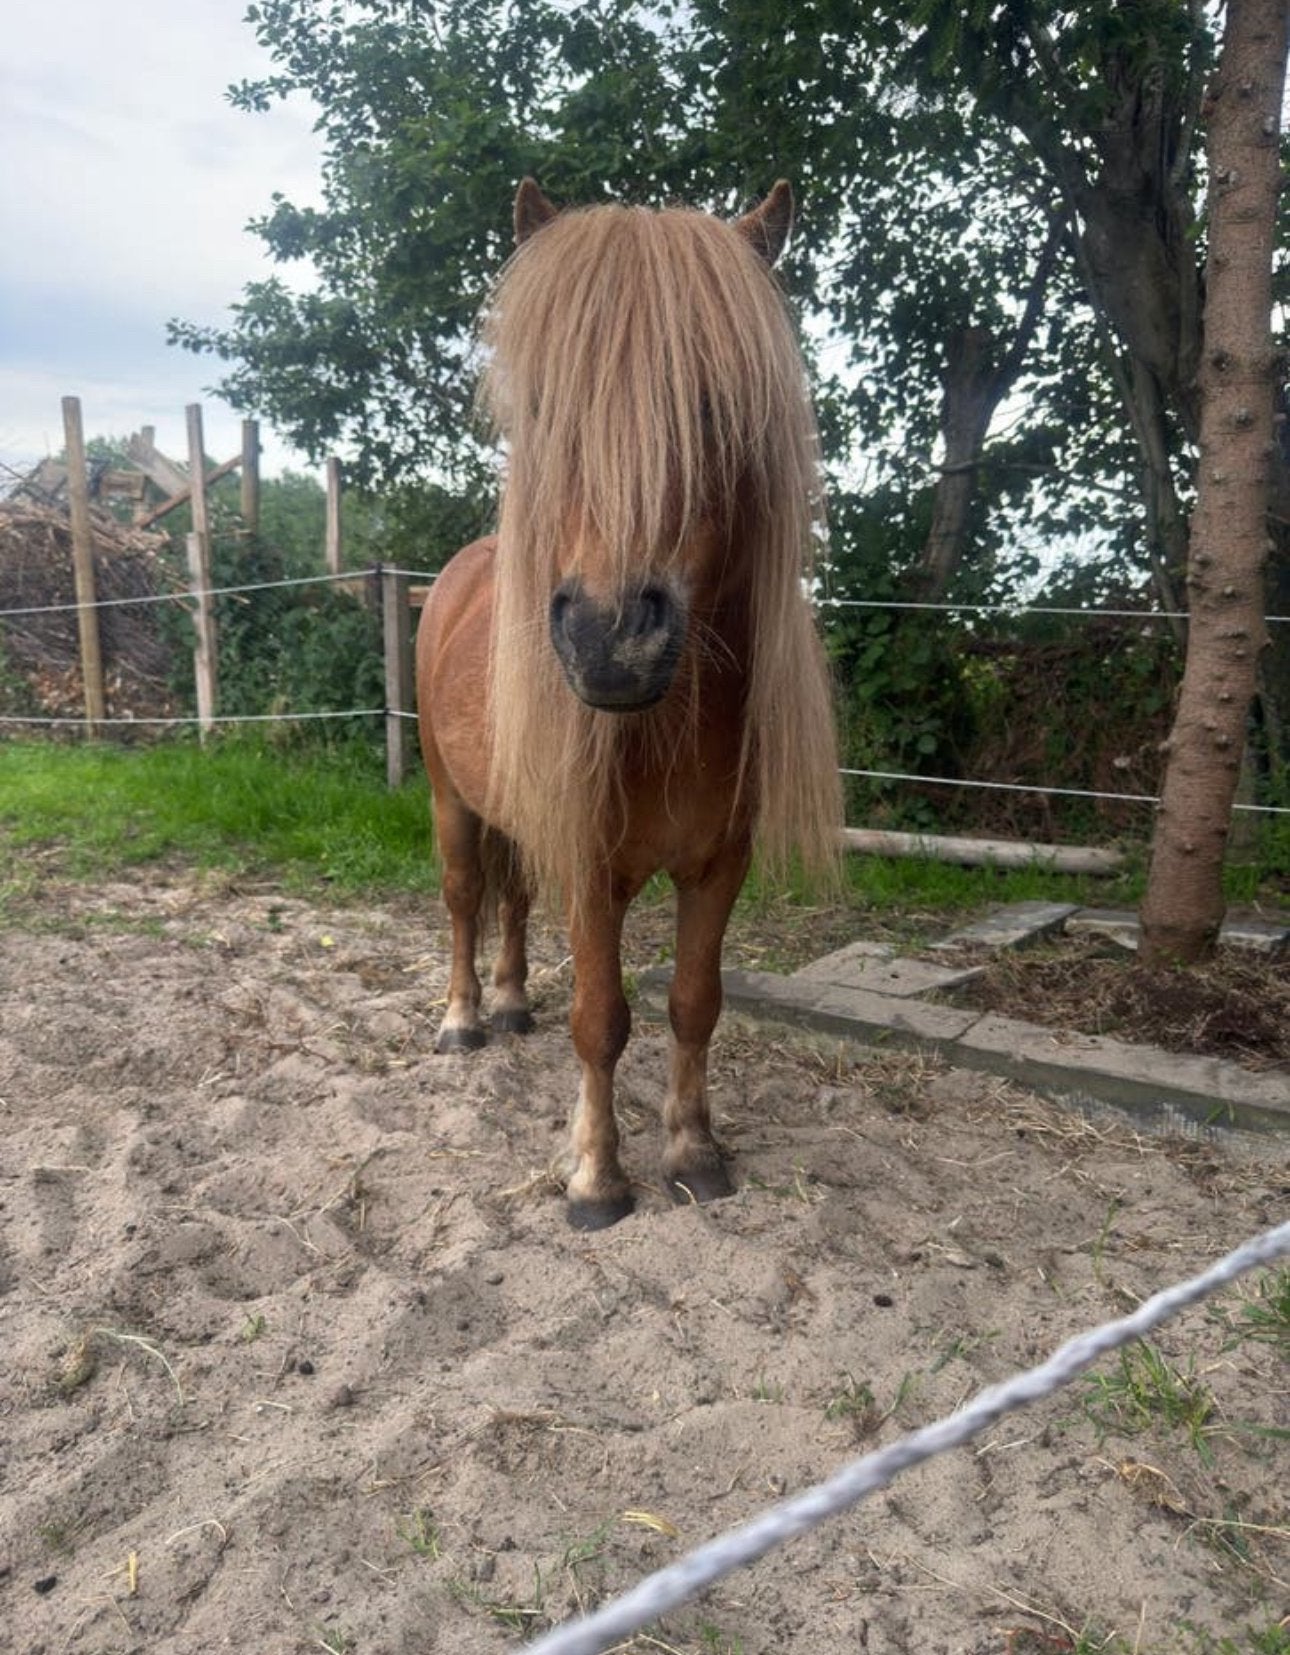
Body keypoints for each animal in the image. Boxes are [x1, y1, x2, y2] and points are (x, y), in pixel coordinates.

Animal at [415, 178, 840, 1229]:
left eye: (715, 404)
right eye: (545, 405)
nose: (611, 637)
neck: (666, 733)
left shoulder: (717, 866)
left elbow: (694, 1002)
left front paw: (693, 1150)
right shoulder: (590, 868)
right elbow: (601, 1018)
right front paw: (596, 1176)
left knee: (512, 901)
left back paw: (509, 1003)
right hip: (450, 799)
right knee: (465, 897)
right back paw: (464, 1019)